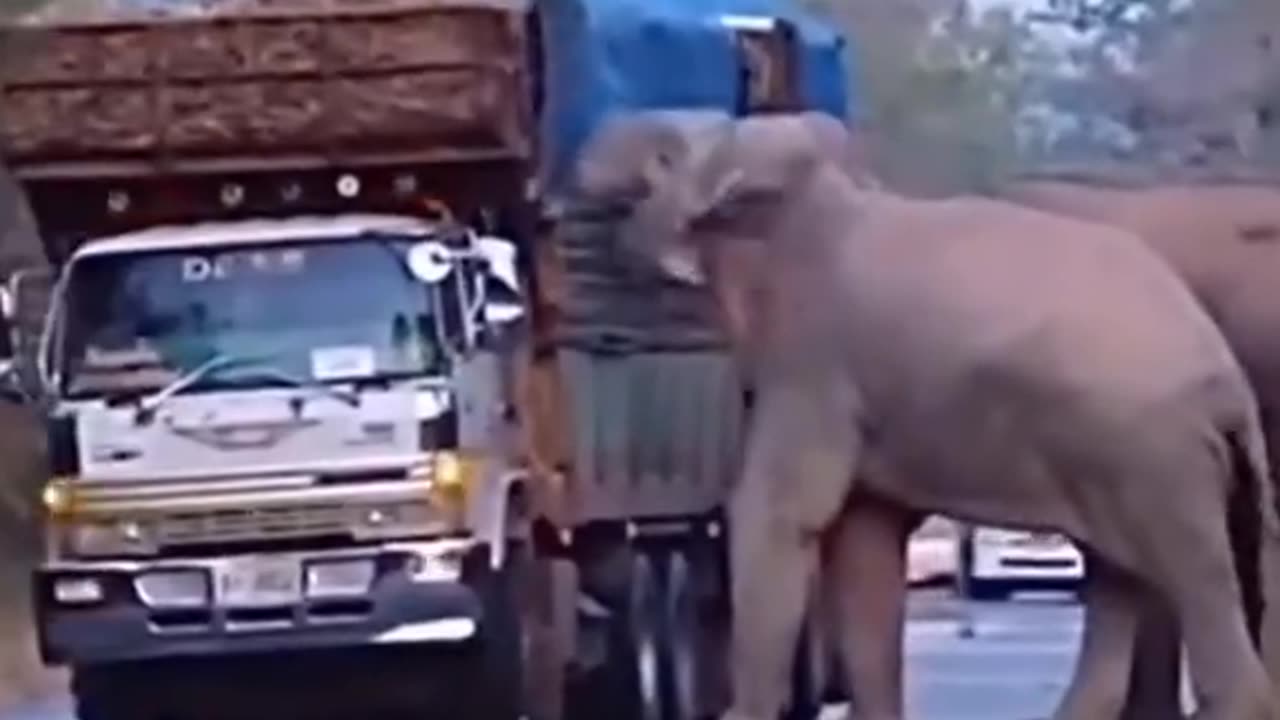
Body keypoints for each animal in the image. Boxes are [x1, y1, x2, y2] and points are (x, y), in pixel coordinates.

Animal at [573, 109, 1280, 717]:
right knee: (1121, 582)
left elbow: (779, 513)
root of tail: (1228, 386)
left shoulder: (814, 359)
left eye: (666, 159)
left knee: (1191, 580)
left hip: (1153, 460)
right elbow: (865, 548)